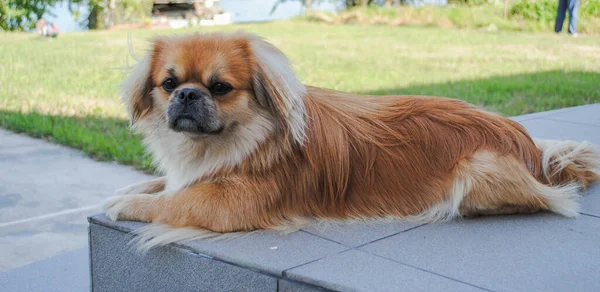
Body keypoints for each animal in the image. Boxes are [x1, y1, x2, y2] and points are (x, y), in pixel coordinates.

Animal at [104, 32, 600, 250]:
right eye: (169, 84)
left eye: (221, 87)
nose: (188, 95)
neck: (230, 142)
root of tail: (533, 150)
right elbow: (165, 186)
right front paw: (129, 189)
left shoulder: (231, 205)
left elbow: (175, 201)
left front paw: (127, 205)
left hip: (478, 170)